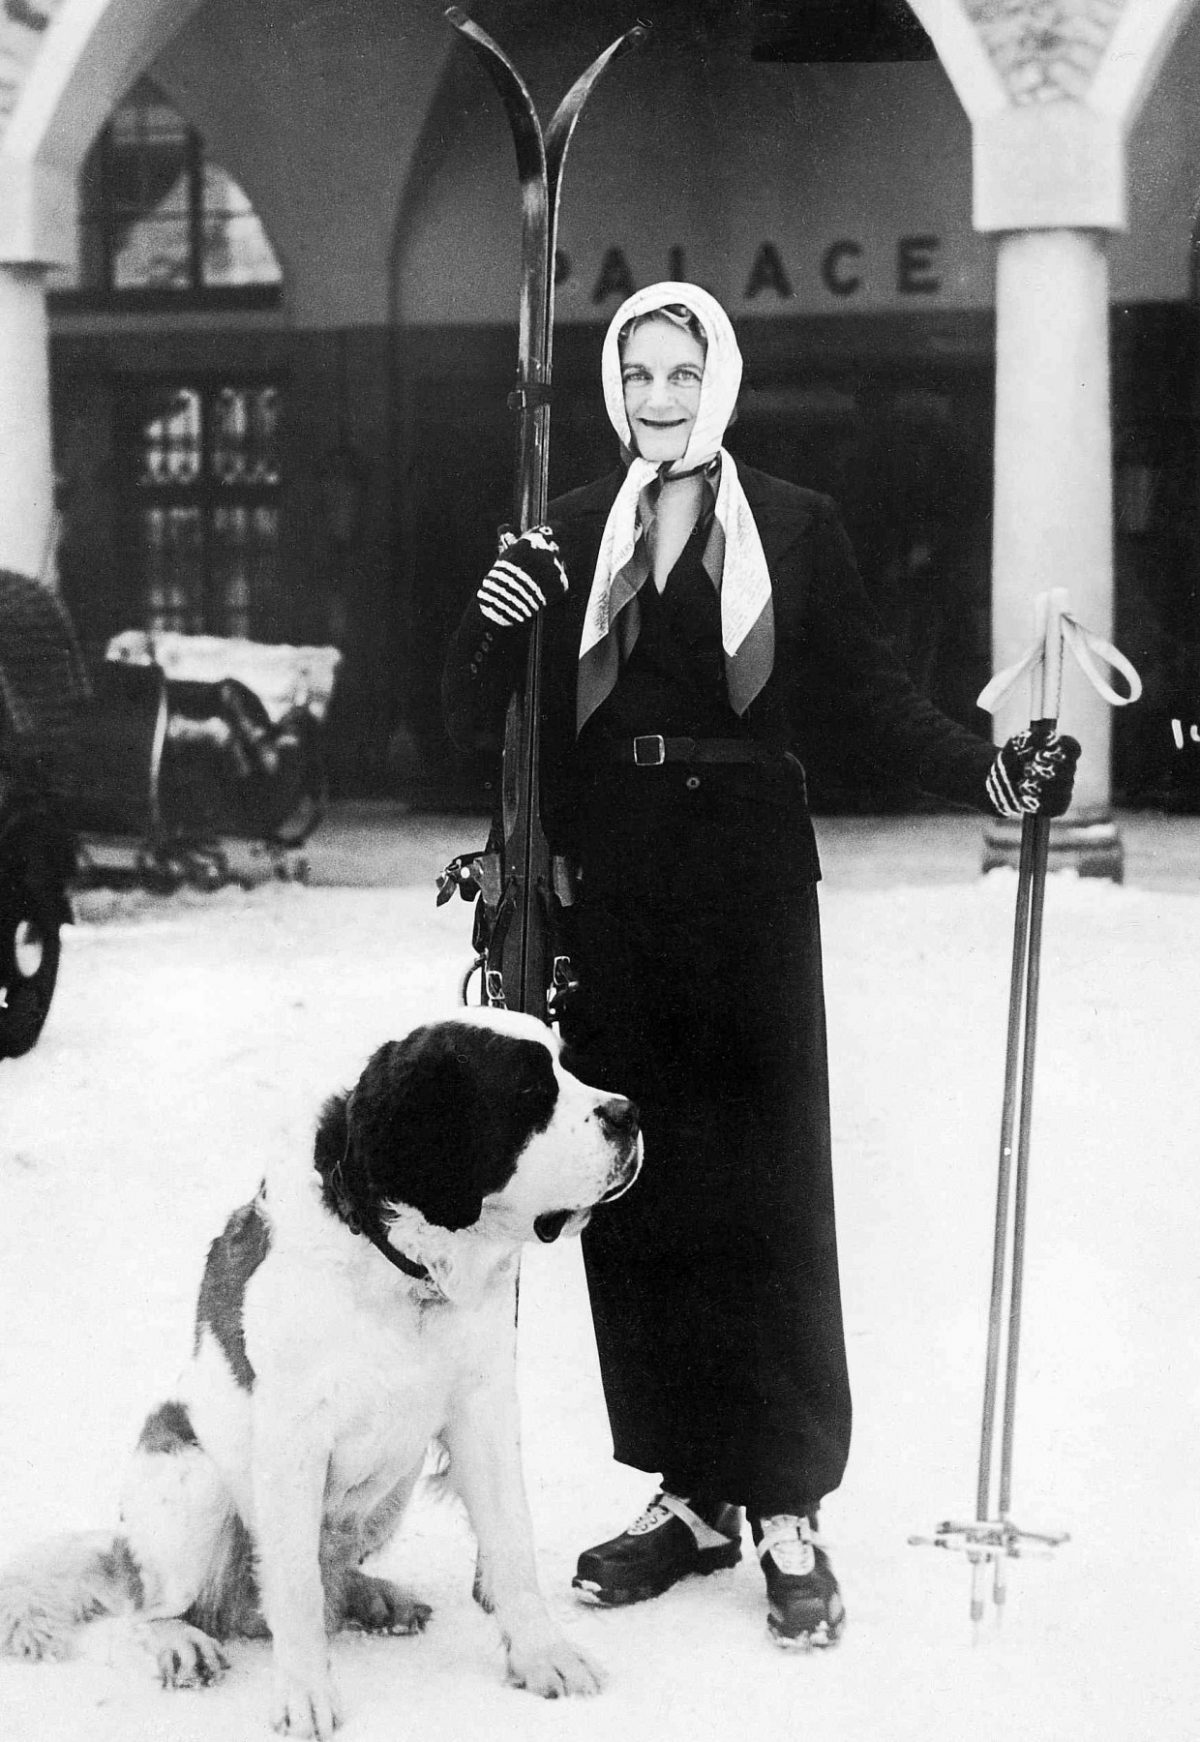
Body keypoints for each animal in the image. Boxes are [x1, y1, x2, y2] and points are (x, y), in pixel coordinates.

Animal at [0, 1010, 637, 1742]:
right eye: (532, 1091)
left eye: (568, 1066)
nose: (630, 1113)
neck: (399, 1264)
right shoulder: (292, 1439)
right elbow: (297, 1586)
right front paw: (305, 1693)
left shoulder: (483, 1409)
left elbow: (511, 1543)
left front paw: (544, 1655)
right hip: (189, 1473)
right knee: (155, 1604)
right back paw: (181, 1642)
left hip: (391, 1489)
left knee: (326, 1579)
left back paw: (374, 1596)